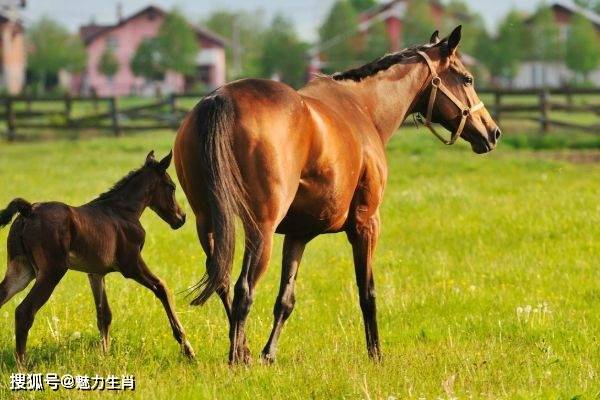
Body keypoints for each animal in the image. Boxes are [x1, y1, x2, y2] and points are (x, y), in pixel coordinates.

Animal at [0, 151, 193, 368]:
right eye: (172, 187)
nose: (181, 218)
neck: (124, 211)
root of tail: (28, 210)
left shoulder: (95, 272)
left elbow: (104, 314)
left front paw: (104, 356)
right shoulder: (131, 264)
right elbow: (162, 287)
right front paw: (187, 348)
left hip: (21, 270)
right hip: (51, 271)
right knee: (24, 311)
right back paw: (22, 367)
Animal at [175, 25, 502, 362]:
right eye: (467, 78)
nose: (492, 132)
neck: (363, 108)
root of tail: (221, 98)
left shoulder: (298, 235)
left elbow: (285, 299)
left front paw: (269, 354)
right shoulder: (366, 224)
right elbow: (367, 292)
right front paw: (375, 354)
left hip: (208, 224)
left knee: (223, 282)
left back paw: (246, 352)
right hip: (261, 230)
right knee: (243, 290)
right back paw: (237, 359)